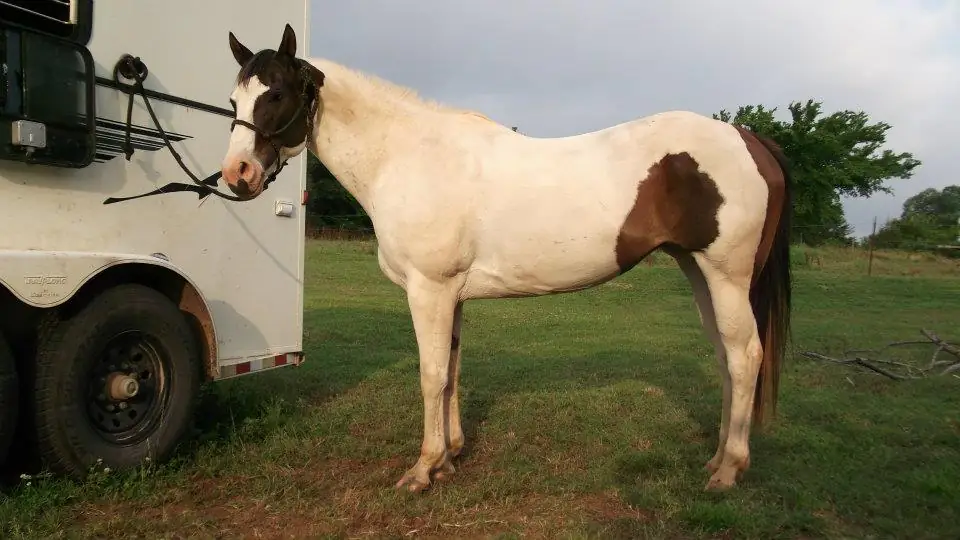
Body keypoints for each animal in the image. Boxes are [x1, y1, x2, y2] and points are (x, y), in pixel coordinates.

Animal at [220, 24, 792, 493]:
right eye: (233, 99)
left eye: (276, 94)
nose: (237, 175)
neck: (409, 155)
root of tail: (747, 139)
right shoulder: (450, 295)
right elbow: (452, 370)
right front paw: (449, 459)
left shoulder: (429, 290)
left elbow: (431, 374)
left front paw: (421, 470)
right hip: (698, 271)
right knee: (725, 356)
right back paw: (716, 458)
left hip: (725, 275)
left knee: (745, 357)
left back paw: (727, 471)